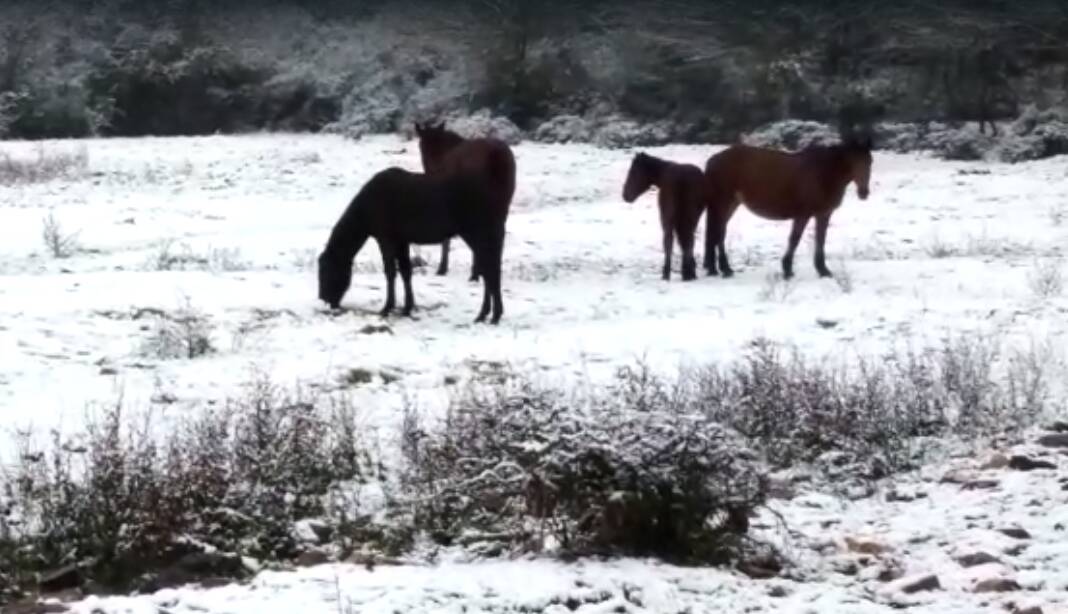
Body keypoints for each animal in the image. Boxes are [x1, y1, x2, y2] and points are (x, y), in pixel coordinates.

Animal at [412, 121, 516, 279]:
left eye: (420, 145)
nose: (430, 170)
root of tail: (496, 157)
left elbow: (446, 239)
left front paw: (442, 268)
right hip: (503, 201)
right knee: (499, 234)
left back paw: (476, 273)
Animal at [623, 151, 704, 281]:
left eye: (633, 171)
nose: (625, 195)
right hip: (691, 218)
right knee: (689, 240)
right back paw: (689, 273)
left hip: (668, 219)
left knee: (669, 241)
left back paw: (667, 273)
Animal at [704, 135, 871, 279]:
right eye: (853, 162)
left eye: (869, 162)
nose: (864, 193)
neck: (823, 173)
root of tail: (713, 161)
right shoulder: (803, 215)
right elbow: (794, 239)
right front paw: (788, 269)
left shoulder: (823, 214)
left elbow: (820, 240)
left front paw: (823, 270)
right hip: (724, 204)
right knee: (719, 234)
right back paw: (726, 269)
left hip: (730, 205)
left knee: (716, 233)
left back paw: (715, 269)